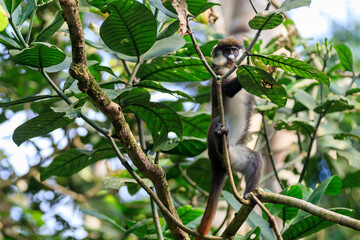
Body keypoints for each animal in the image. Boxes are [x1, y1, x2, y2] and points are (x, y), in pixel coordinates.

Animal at [195, 37, 262, 238]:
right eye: (226, 51)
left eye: (234, 50)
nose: (232, 57)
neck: (229, 67)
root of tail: (216, 164)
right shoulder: (218, 75)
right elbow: (229, 89)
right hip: (217, 148)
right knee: (216, 121)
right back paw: (219, 136)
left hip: (235, 157)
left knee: (255, 158)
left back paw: (248, 195)